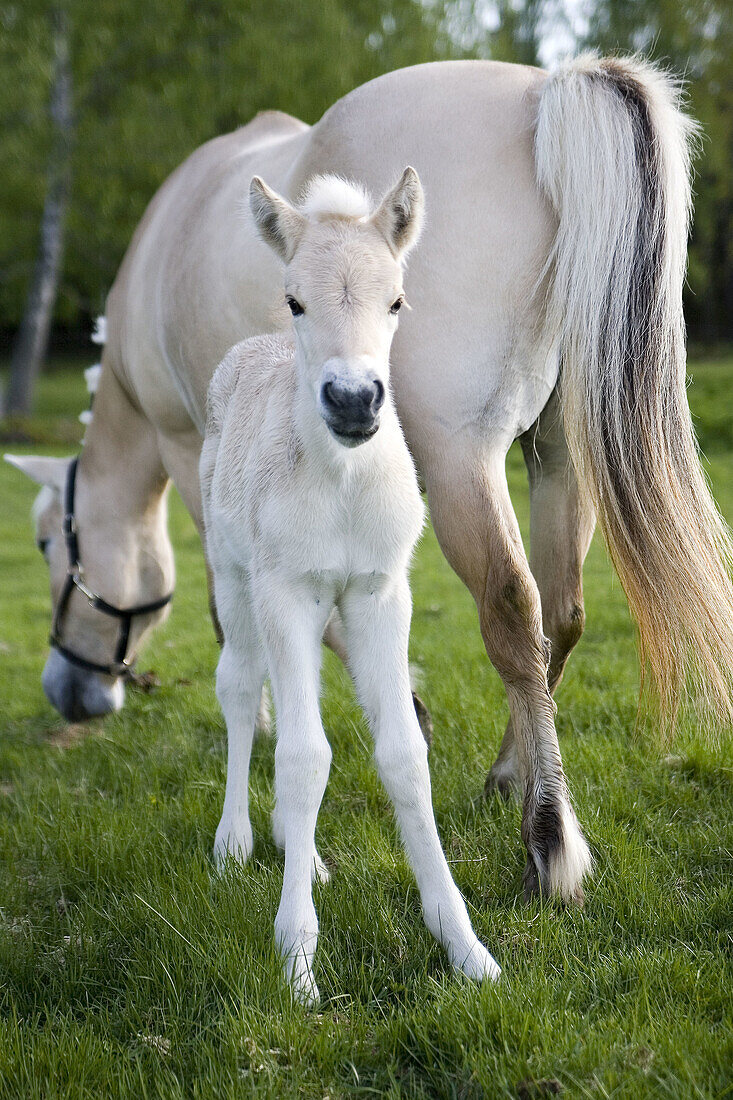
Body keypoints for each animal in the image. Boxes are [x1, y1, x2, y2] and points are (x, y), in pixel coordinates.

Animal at [5, 55, 730, 906]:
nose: (68, 692)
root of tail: (540, 90)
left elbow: (242, 617)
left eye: (48, 544)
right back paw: (510, 774)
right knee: (561, 611)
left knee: (512, 612)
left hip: (459, 461)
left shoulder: (195, 459)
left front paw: (291, 718)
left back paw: (547, 838)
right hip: (557, 456)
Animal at [198, 167, 497, 1003]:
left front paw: (464, 946)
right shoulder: (285, 591)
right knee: (241, 686)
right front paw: (297, 959)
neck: (339, 480)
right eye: (295, 300)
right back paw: (236, 840)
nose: (355, 400)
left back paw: (302, 852)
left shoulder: (378, 593)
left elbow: (401, 754)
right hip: (234, 574)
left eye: (396, 300)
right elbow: (304, 758)